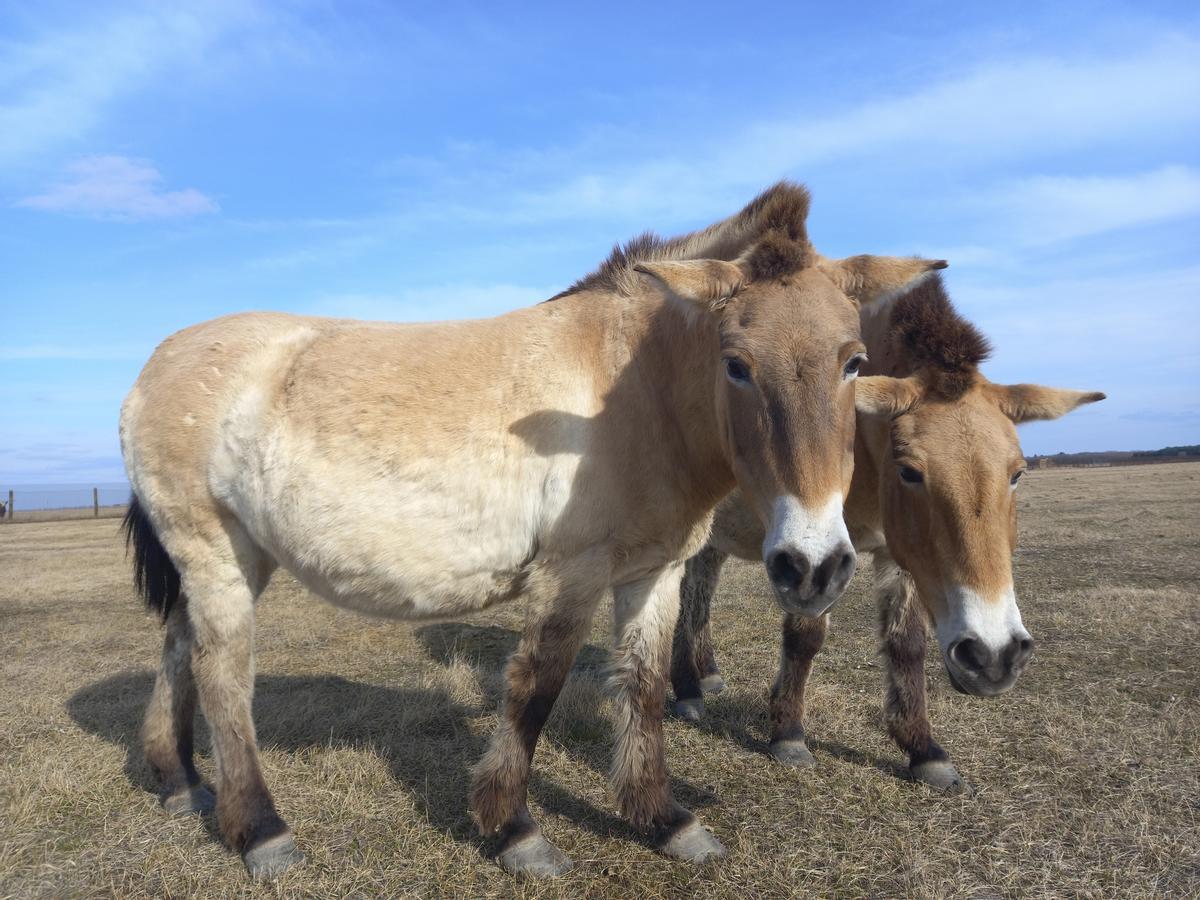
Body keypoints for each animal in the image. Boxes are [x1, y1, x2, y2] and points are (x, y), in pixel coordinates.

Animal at [121, 183, 945, 883]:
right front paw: (516, 830)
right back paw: (261, 831)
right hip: (215, 553)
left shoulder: (655, 572)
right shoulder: (571, 574)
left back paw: (179, 782)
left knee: (179, 647)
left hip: (239, 557)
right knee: (223, 675)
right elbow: (537, 689)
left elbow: (645, 686)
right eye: (737, 364)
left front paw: (666, 820)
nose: (813, 565)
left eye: (854, 362)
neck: (631, 391)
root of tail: (154, 364)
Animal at [672, 274, 1099, 787]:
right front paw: (789, 733)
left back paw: (704, 676)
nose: (994, 657)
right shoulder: (816, 558)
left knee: (698, 592)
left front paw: (923, 749)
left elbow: (906, 643)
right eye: (910, 472)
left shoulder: (897, 555)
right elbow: (805, 635)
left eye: (1017, 473)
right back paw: (687, 690)